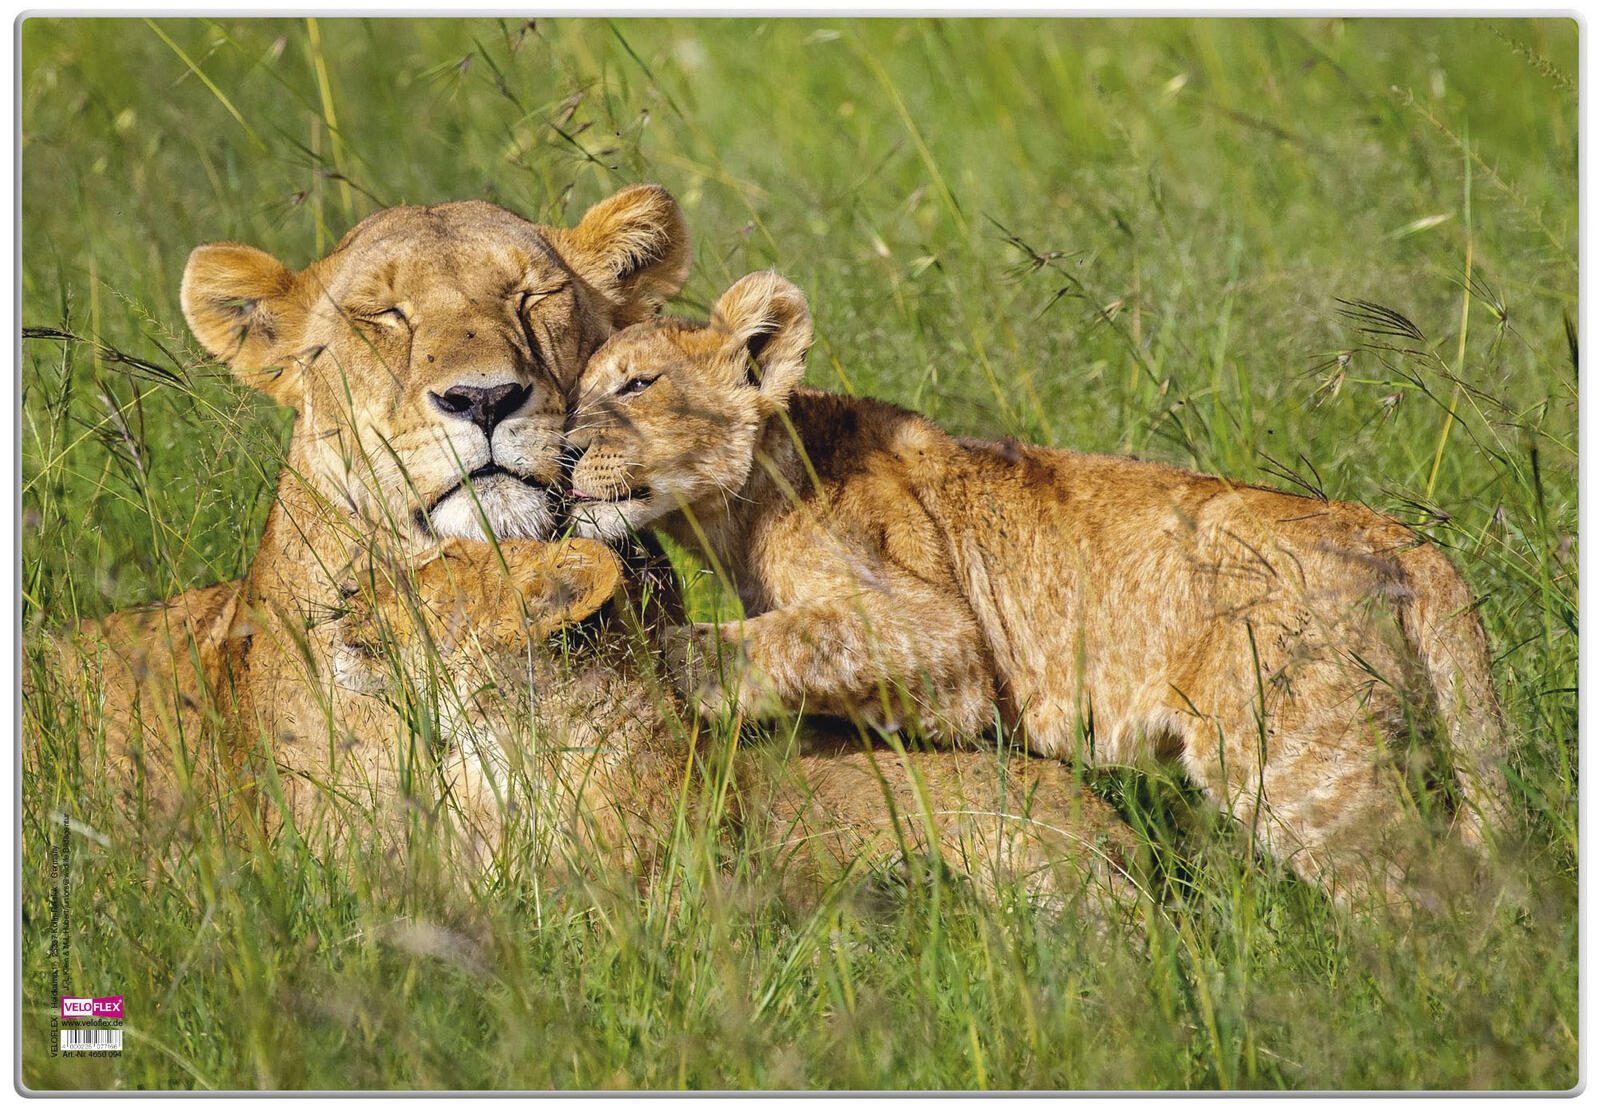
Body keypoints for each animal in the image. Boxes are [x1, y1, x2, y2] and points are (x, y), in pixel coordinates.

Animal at [563, 270, 1514, 905]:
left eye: (637, 384)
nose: (564, 453)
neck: (735, 509)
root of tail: (1400, 538)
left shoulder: (943, 640)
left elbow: (790, 637)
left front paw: (669, 657)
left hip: (1300, 762)